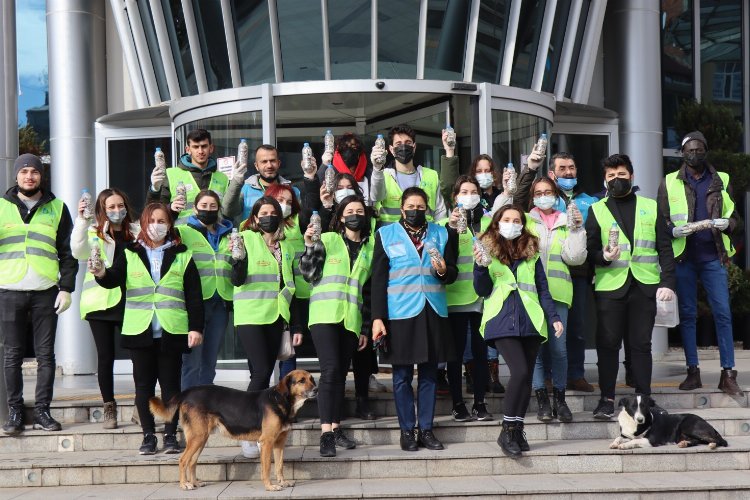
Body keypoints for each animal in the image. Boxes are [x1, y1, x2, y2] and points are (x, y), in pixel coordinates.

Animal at [150, 370, 318, 490]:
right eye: (301, 381)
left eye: (311, 379)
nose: (316, 390)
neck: (280, 400)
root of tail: (187, 392)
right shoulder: (267, 442)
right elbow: (267, 468)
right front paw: (270, 486)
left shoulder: (279, 443)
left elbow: (279, 466)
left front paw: (283, 482)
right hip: (198, 437)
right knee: (183, 460)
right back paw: (184, 484)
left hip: (201, 438)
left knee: (192, 461)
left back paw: (195, 483)